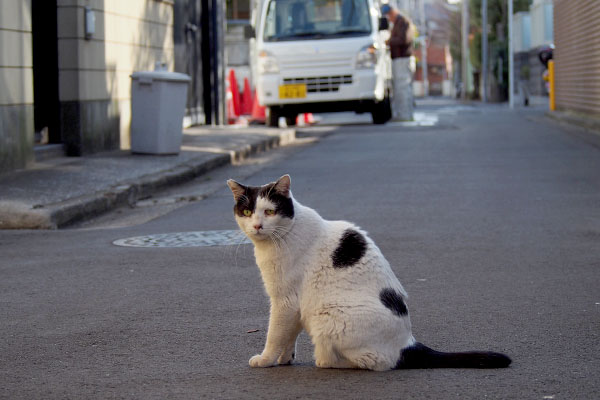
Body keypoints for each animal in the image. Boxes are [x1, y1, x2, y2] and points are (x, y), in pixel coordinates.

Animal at [226, 175, 510, 372]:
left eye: (270, 211)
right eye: (248, 212)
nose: (257, 226)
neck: (283, 235)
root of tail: (407, 343)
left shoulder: (285, 301)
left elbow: (275, 334)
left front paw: (265, 359)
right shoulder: (293, 306)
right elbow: (289, 336)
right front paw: (285, 359)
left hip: (327, 317)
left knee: (370, 362)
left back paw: (326, 361)